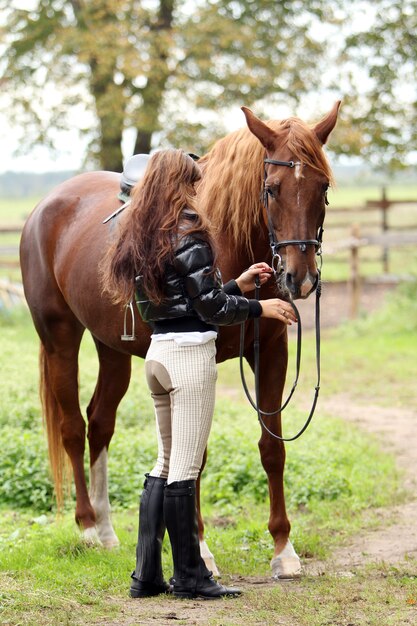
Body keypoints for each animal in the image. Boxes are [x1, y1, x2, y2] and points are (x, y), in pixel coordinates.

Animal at [19, 101, 338, 576]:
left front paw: (284, 550)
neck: (227, 238)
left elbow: (272, 447)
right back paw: (88, 527)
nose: (299, 279)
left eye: (323, 187)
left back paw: (109, 531)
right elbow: (196, 455)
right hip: (60, 338)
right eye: (272, 188)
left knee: (100, 422)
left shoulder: (271, 353)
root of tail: (45, 207)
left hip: (111, 347)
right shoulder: (198, 360)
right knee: (72, 427)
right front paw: (200, 550)